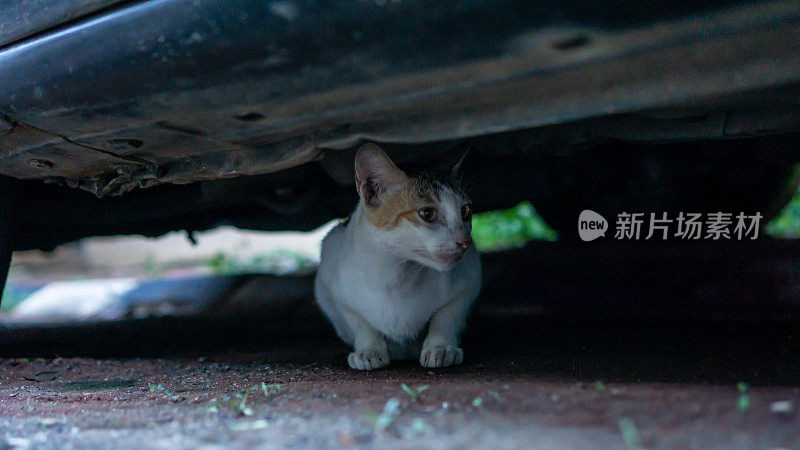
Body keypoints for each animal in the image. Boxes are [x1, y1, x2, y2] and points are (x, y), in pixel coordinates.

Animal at [314, 143, 482, 370]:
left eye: (465, 211)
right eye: (427, 213)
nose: (466, 242)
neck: (398, 275)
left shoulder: (469, 278)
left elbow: (447, 317)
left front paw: (440, 347)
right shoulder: (332, 280)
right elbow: (361, 322)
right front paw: (369, 350)